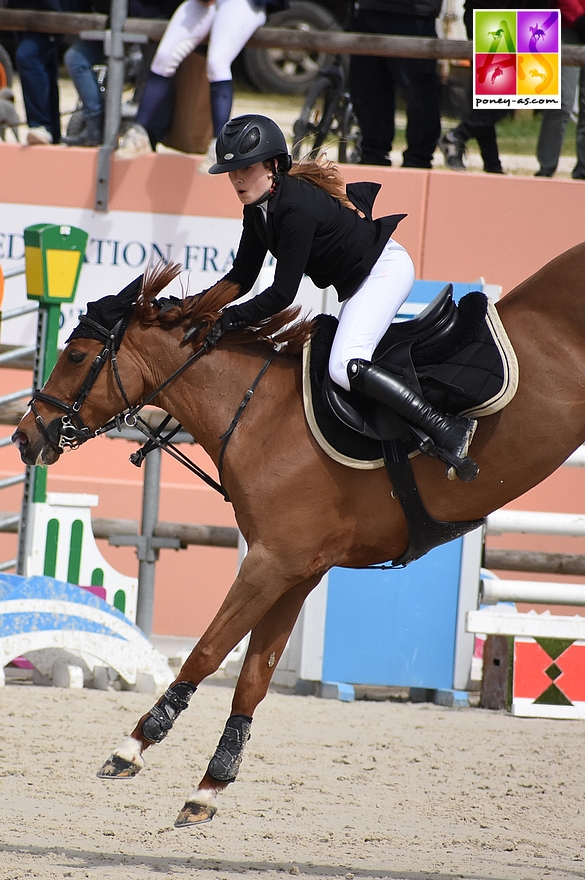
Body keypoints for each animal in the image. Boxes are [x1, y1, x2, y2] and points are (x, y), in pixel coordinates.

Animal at [11, 242, 584, 824]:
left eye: (76, 356)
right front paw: (210, 786)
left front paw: (134, 746)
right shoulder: (297, 570)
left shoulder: (270, 563)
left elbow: (207, 652)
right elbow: (254, 677)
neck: (257, 414)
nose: (24, 437)